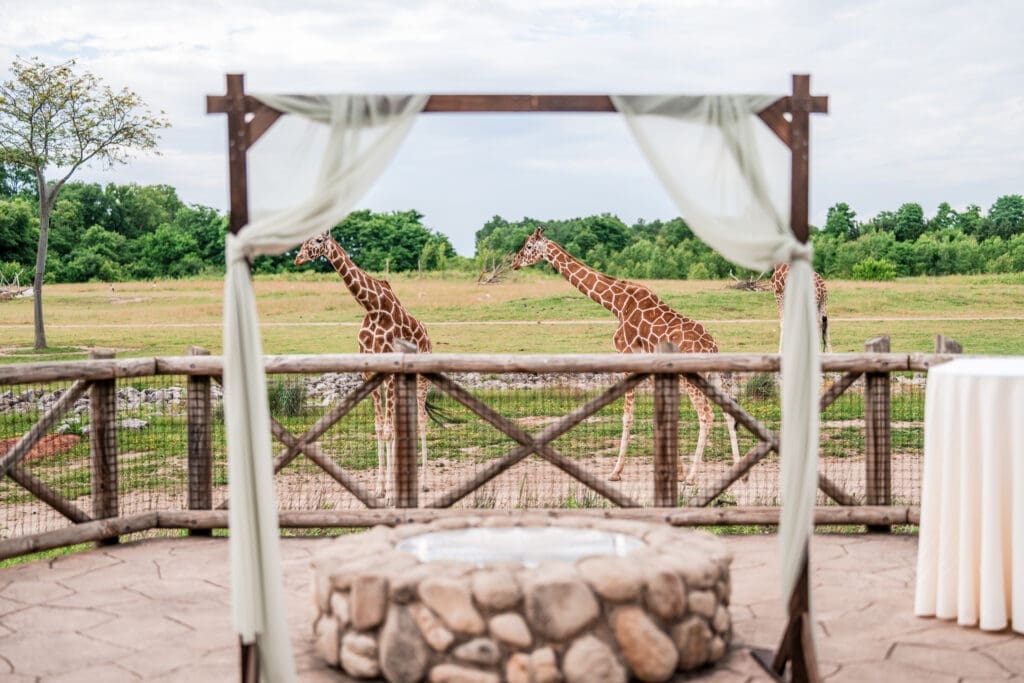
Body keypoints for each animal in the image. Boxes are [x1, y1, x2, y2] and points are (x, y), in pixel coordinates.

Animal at [294, 231, 433, 501]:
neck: (373, 307)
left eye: (318, 240)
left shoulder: (390, 372)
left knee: (421, 420)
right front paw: (380, 488)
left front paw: (391, 492)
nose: (298, 258)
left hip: (423, 381)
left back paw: (423, 483)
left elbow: (389, 430)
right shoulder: (369, 373)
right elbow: (380, 428)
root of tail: (428, 337)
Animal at [512, 227, 741, 483]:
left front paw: (616, 471)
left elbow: (627, 415)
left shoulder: (627, 356)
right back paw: (737, 466)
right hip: (714, 376)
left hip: (692, 377)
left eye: (529, 246)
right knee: (729, 412)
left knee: (706, 415)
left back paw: (693, 476)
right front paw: (677, 470)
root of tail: (712, 347)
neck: (617, 304)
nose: (514, 262)